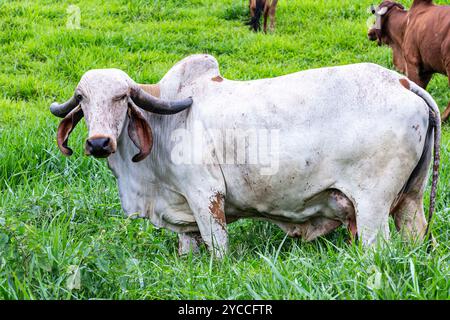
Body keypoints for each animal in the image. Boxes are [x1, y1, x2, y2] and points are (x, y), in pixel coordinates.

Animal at [50, 53, 440, 256]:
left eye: (121, 98)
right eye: (82, 99)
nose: (99, 143)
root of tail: (403, 82)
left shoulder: (206, 195)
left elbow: (218, 248)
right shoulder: (182, 213)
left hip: (372, 206)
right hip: (411, 199)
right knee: (414, 231)